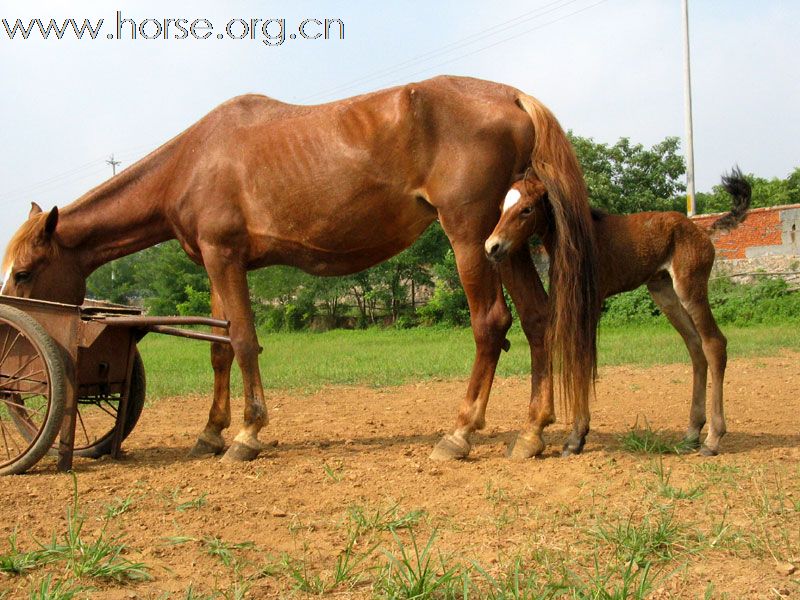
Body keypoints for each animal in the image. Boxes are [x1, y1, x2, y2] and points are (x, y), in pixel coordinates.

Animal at [1, 76, 600, 464]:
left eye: (24, 272)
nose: (13, 339)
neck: (193, 162)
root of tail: (511, 96)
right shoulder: (217, 264)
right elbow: (220, 350)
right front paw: (211, 433)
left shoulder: (226, 259)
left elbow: (244, 341)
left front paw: (247, 435)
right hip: (506, 242)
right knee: (539, 321)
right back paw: (532, 433)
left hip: (470, 236)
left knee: (491, 324)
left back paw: (459, 434)